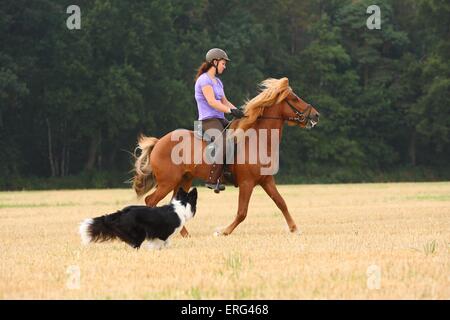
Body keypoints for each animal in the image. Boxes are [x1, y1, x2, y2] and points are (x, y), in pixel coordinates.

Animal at [131, 77, 320, 236]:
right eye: (294, 98)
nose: (316, 115)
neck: (257, 140)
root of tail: (159, 142)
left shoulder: (266, 181)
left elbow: (281, 203)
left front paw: (295, 229)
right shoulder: (247, 183)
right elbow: (242, 212)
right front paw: (223, 231)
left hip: (184, 180)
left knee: (175, 203)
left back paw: (184, 234)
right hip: (167, 182)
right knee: (150, 200)